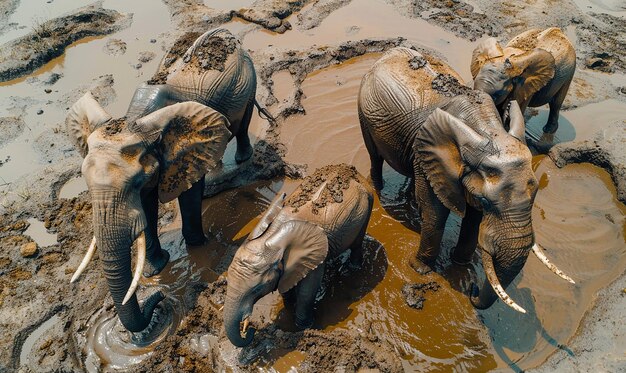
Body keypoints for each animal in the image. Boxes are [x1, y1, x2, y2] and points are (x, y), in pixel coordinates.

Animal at [67, 29, 262, 338]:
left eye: (135, 182)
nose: (159, 297)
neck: (135, 120)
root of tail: (229, 34)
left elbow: (189, 194)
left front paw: (196, 246)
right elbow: (147, 207)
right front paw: (155, 269)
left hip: (250, 80)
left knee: (242, 125)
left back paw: (242, 158)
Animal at [223, 164, 370, 348]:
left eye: (257, 288)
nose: (251, 330)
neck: (273, 235)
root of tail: (353, 170)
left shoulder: (313, 257)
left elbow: (307, 291)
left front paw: (303, 326)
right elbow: (286, 284)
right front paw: (289, 305)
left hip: (367, 206)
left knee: (357, 243)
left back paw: (353, 269)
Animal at [356, 47, 572, 314]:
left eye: (536, 195)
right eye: (486, 201)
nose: (473, 289)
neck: (488, 132)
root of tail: (387, 52)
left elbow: (472, 219)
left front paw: (460, 264)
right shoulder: (433, 150)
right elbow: (436, 212)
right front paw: (419, 269)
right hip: (364, 112)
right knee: (374, 155)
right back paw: (378, 190)